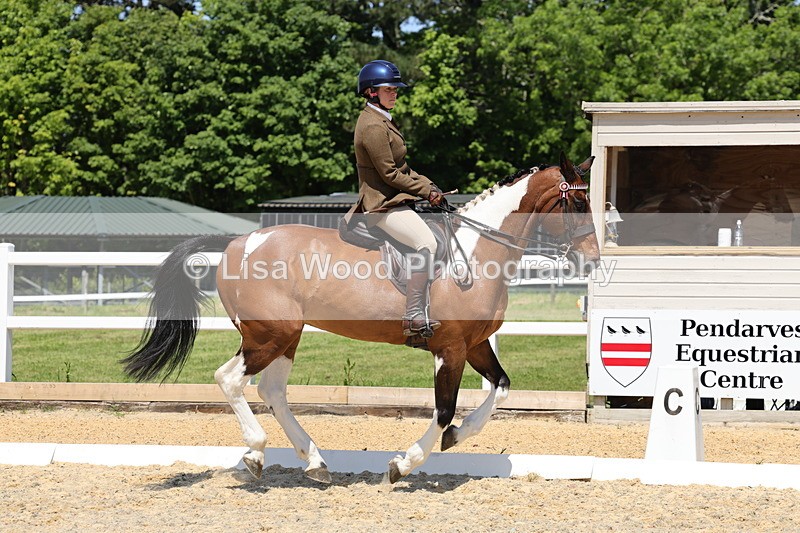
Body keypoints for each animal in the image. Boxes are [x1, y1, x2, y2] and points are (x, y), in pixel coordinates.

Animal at [122, 152, 600, 484]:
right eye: (577, 201)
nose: (594, 260)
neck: (478, 252)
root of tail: (240, 242)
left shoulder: (474, 343)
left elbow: (500, 388)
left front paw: (457, 438)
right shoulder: (449, 348)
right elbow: (444, 409)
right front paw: (404, 464)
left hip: (285, 337)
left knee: (272, 390)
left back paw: (315, 462)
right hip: (269, 335)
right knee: (230, 379)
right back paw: (256, 452)